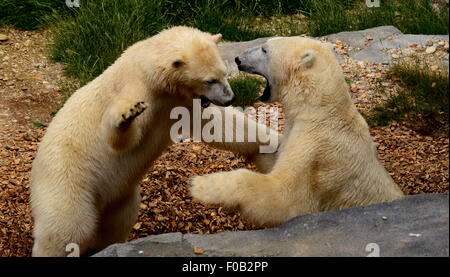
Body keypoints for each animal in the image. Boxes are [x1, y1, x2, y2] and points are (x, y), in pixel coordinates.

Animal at [29, 27, 280, 256]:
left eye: (224, 73)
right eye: (210, 80)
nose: (230, 98)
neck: (155, 79)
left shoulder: (181, 101)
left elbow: (219, 125)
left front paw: (273, 138)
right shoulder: (138, 89)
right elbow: (120, 140)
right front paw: (126, 115)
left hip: (119, 197)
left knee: (117, 221)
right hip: (67, 179)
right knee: (67, 228)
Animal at [190, 36, 404, 225]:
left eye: (265, 49)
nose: (238, 59)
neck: (322, 108)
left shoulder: (316, 150)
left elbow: (286, 197)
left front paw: (200, 185)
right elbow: (273, 157)